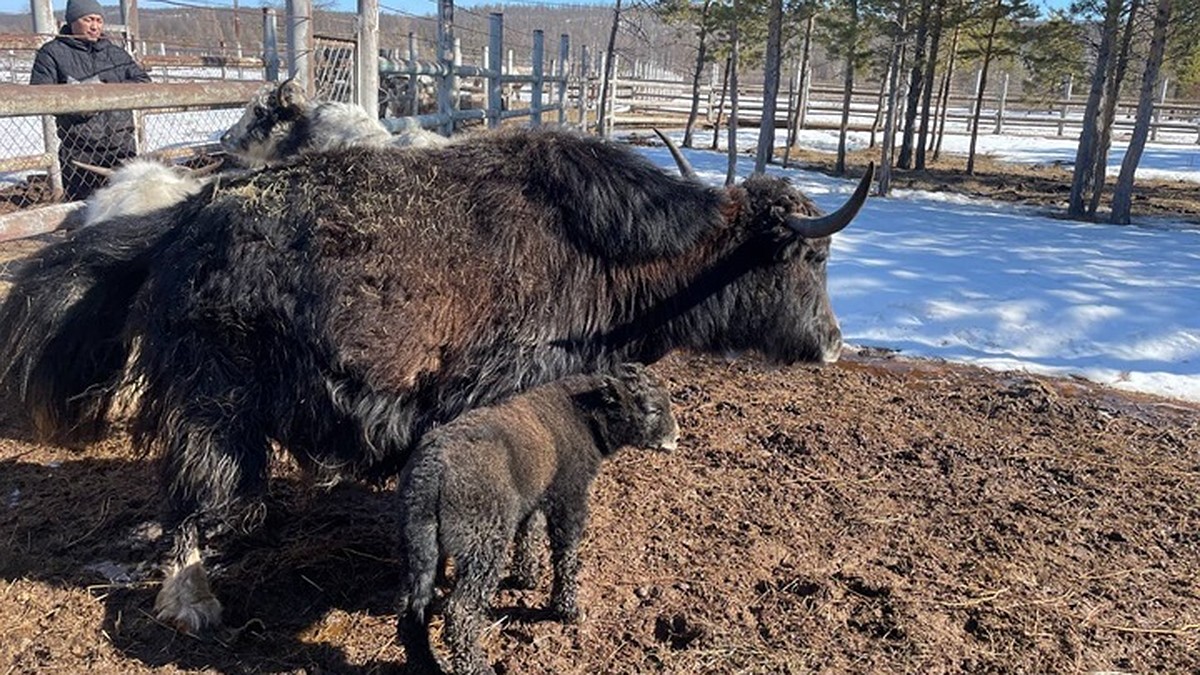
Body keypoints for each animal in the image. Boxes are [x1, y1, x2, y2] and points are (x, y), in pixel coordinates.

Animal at [393, 362, 676, 672]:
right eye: (652, 409)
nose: (675, 437)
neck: (584, 415)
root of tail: (430, 476)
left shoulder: (537, 497)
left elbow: (529, 532)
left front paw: (526, 577)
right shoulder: (569, 498)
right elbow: (565, 555)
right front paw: (567, 609)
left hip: (418, 548)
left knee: (412, 609)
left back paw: (426, 661)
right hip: (483, 544)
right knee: (460, 610)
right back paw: (476, 665)